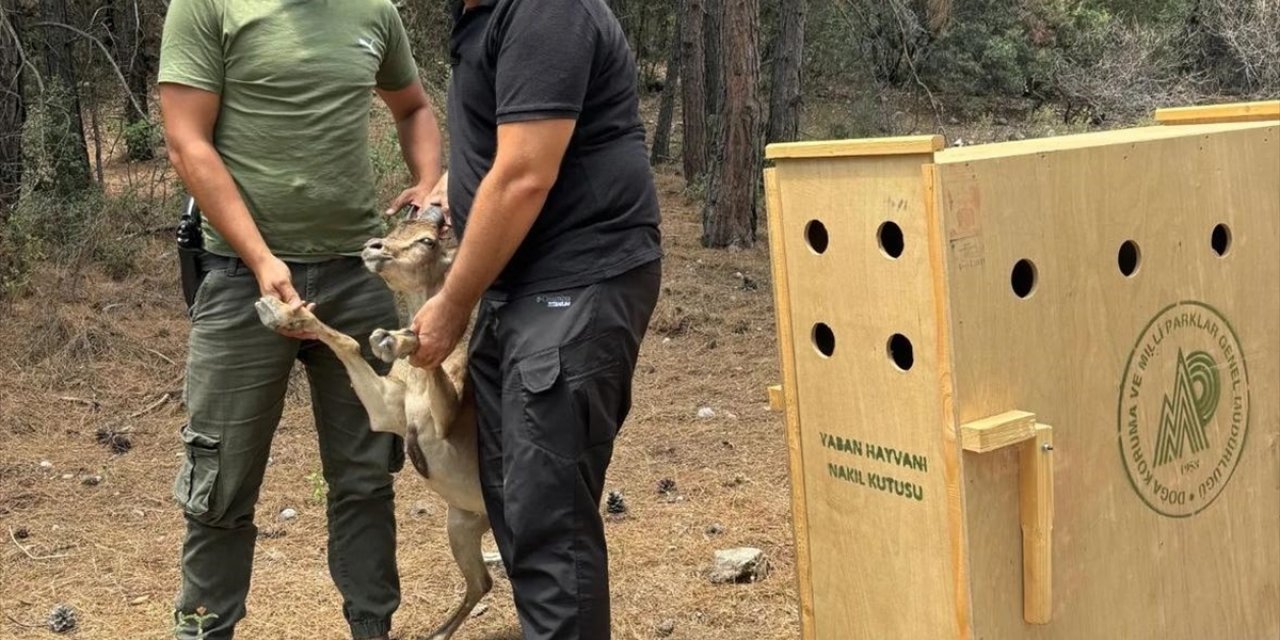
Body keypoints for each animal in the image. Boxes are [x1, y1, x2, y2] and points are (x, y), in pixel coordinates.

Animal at [252, 208, 486, 640]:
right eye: (397, 227)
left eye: (428, 240)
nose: (373, 247)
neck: (412, 385)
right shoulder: (386, 412)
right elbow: (347, 343)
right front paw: (278, 309)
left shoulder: (449, 425)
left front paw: (396, 338)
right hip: (460, 523)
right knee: (482, 582)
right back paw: (437, 633)